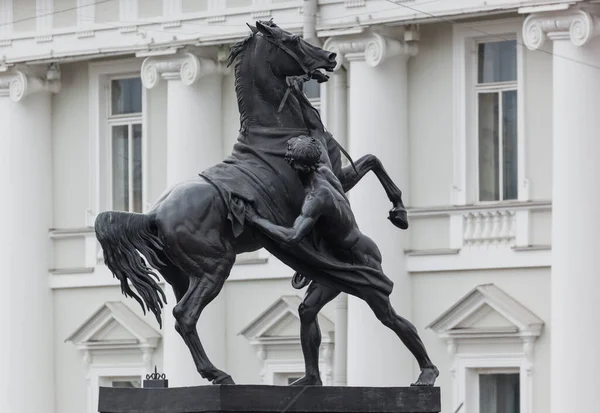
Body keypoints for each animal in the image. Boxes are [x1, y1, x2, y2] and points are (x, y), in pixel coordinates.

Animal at [95, 19, 412, 384]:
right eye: (293, 40)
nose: (331, 57)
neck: (276, 131)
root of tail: (153, 216)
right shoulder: (329, 181)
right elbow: (372, 162)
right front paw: (399, 211)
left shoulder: (337, 177)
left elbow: (372, 159)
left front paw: (399, 212)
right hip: (215, 267)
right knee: (184, 315)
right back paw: (219, 375)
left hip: (179, 276)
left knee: (183, 319)